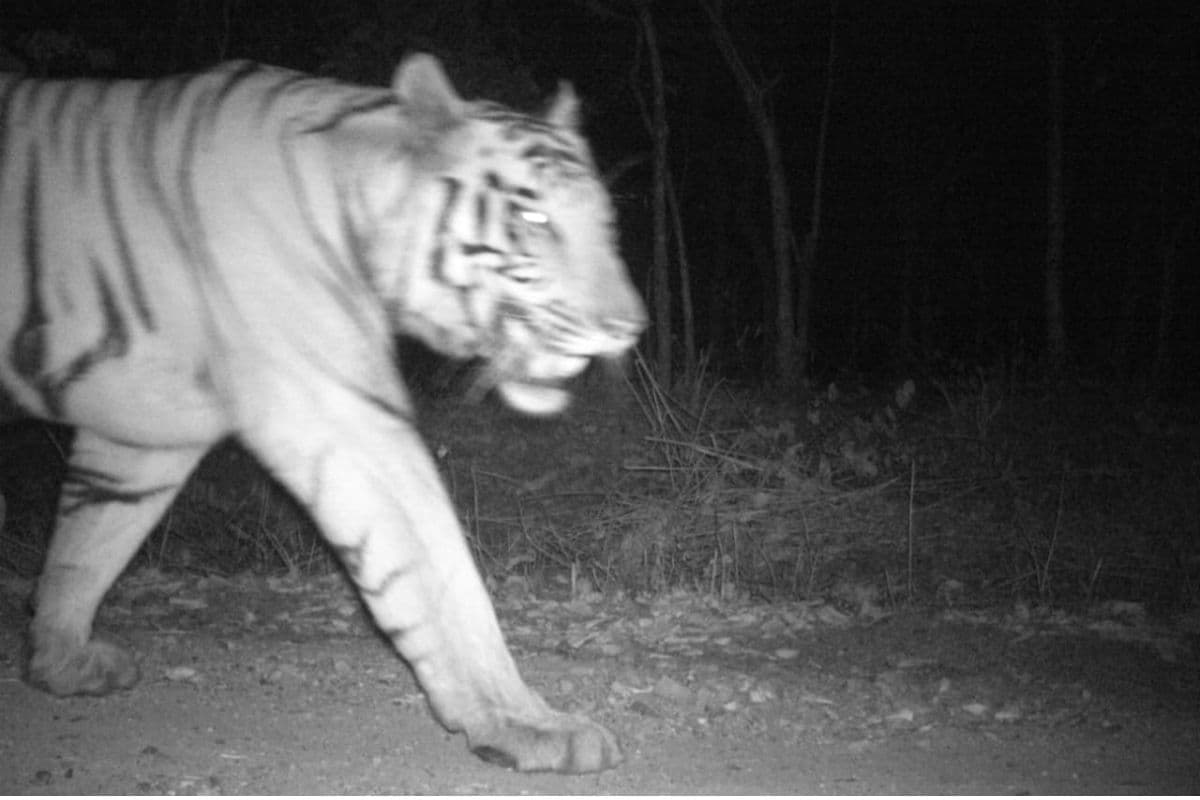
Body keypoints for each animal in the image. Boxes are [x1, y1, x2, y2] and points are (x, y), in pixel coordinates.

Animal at [0, 53, 644, 774]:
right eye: (534, 219)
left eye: (605, 224)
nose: (627, 327)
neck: (357, 199)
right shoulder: (337, 410)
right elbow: (436, 568)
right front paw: (520, 723)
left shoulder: (143, 434)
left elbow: (89, 544)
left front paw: (59, 659)